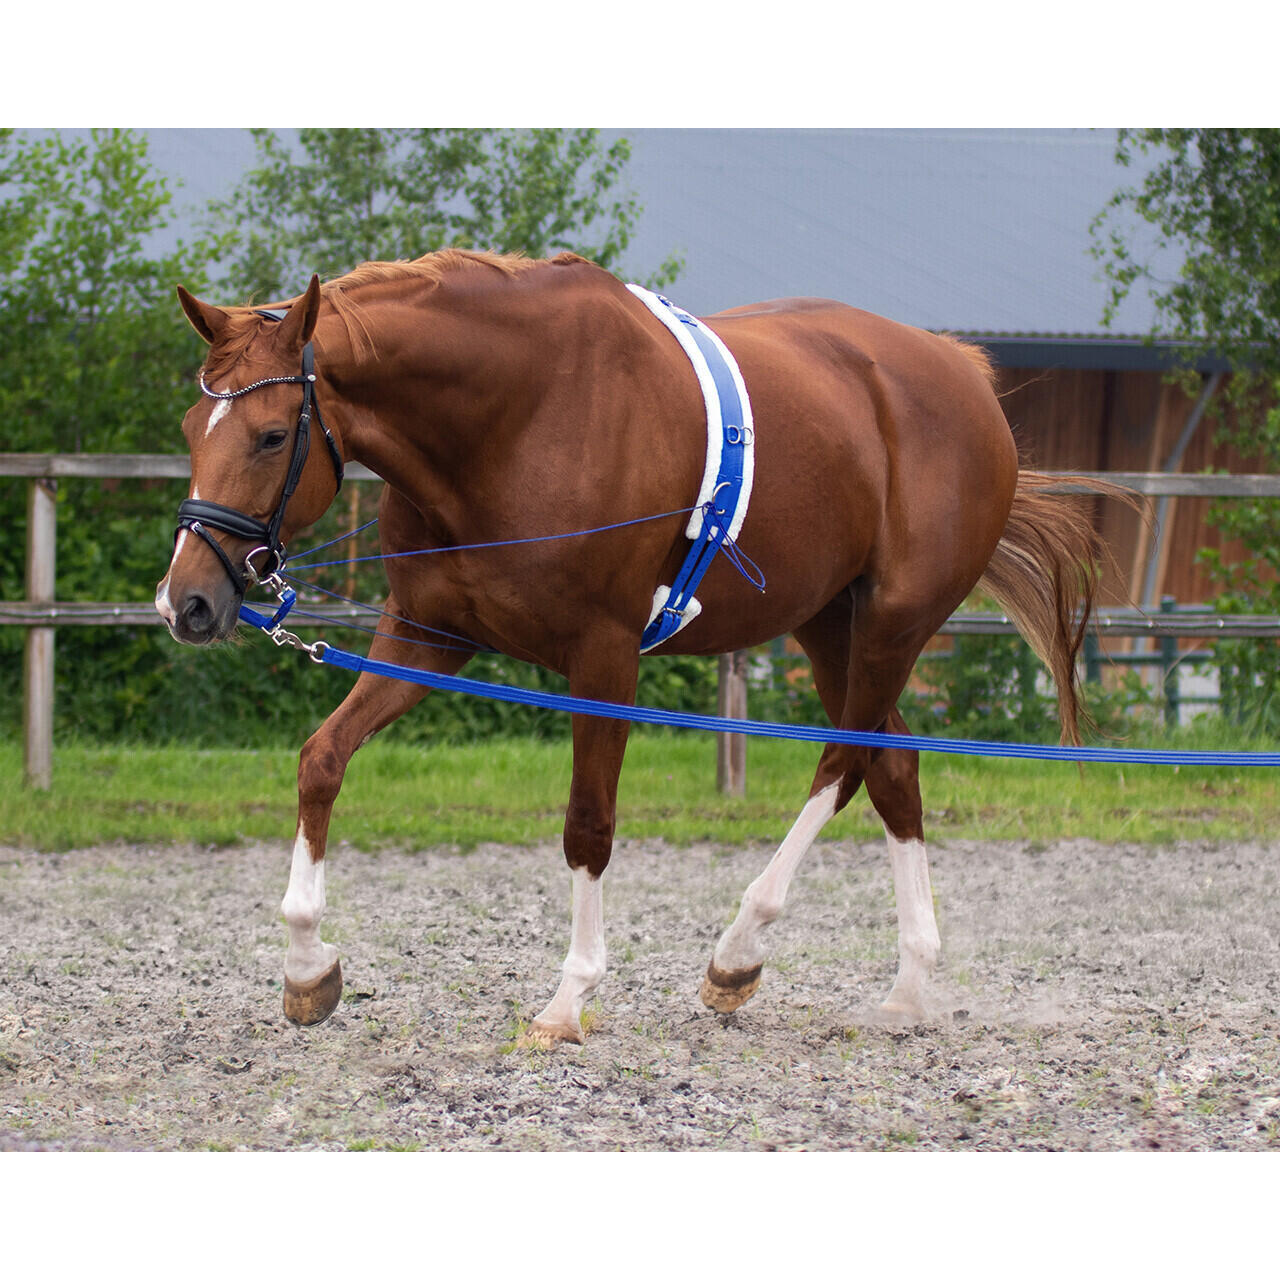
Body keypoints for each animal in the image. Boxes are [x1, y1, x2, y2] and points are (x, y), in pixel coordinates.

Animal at [156, 248, 1107, 1046]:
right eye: (190, 427)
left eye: (272, 435)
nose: (185, 602)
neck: (512, 419)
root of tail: (965, 375)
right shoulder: (425, 638)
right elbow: (321, 760)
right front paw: (307, 969)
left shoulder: (603, 659)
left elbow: (589, 822)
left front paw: (569, 998)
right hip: (828, 623)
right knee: (893, 763)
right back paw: (908, 987)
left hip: (892, 625)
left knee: (843, 763)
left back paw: (738, 953)